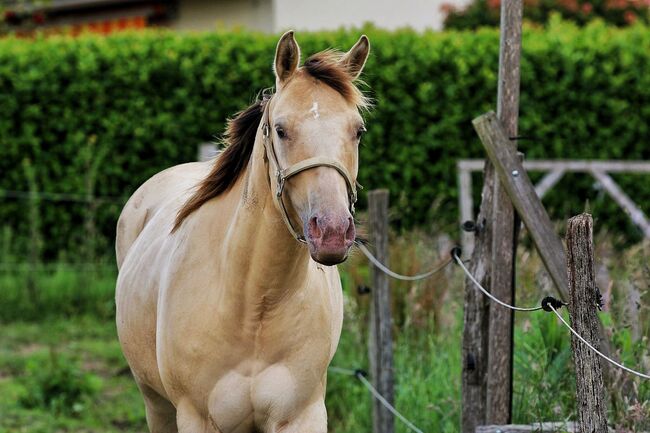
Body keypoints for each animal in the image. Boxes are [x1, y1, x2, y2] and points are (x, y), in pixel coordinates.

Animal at [115, 31, 370, 432]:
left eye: (357, 131)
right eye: (281, 129)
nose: (331, 231)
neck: (255, 304)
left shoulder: (302, 415)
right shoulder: (196, 417)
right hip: (156, 403)